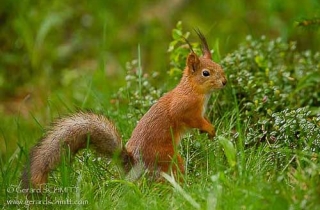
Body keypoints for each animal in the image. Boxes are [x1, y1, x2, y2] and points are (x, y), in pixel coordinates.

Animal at [21, 30, 226, 189]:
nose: (224, 82)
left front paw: (209, 130)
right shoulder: (185, 109)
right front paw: (210, 129)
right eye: (205, 73)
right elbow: (193, 120)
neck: (193, 90)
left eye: (220, 67)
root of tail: (135, 165)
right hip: (167, 157)